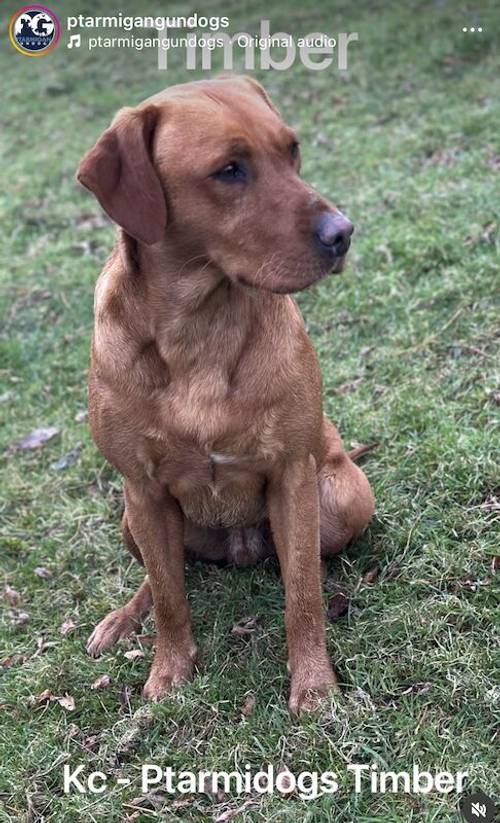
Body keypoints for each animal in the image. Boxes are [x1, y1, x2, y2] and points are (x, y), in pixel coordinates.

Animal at [78, 75, 374, 716]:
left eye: (292, 150)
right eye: (229, 170)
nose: (342, 233)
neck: (200, 325)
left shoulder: (291, 476)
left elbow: (302, 598)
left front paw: (314, 686)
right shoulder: (143, 488)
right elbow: (171, 599)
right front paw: (169, 672)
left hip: (339, 500)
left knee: (305, 564)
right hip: (130, 515)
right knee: (159, 575)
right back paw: (122, 619)